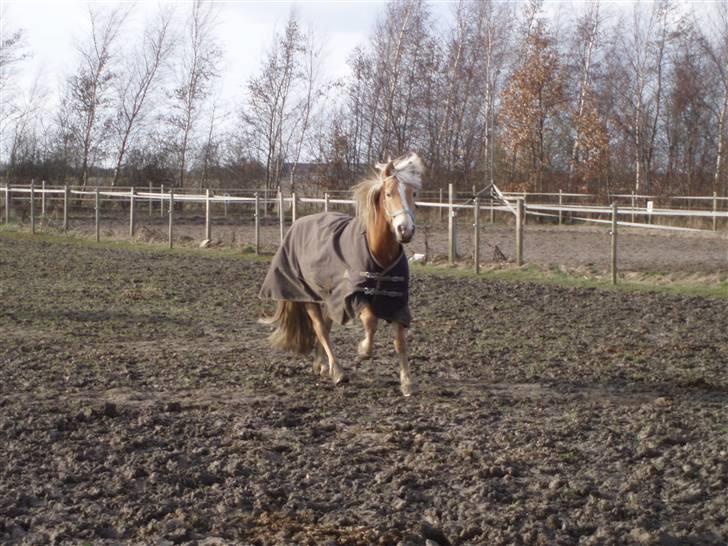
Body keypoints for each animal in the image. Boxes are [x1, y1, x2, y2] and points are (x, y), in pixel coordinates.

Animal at [260, 151, 420, 394]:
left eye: (413, 193)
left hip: (327, 298)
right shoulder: (354, 296)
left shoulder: (397, 301)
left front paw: (407, 382)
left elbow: (400, 341)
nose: (405, 230)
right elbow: (371, 322)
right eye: (389, 193)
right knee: (320, 329)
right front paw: (362, 351)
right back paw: (337, 371)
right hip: (307, 296)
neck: (378, 254)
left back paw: (322, 366)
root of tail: (297, 224)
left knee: (325, 326)